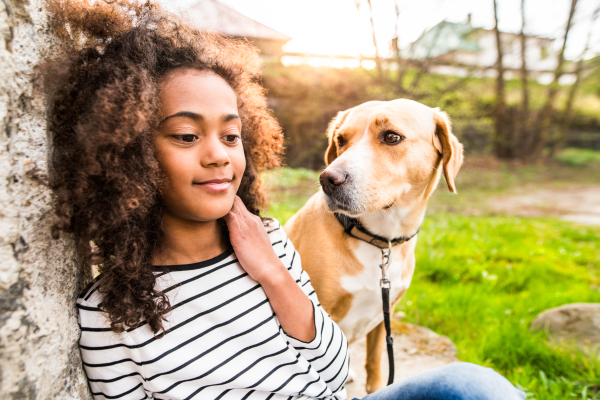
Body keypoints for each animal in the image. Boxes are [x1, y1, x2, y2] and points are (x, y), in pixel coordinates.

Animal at [282, 98, 464, 392]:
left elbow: (375, 365)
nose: (328, 179)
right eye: (341, 140)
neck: (379, 240)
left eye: (391, 137)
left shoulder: (383, 314)